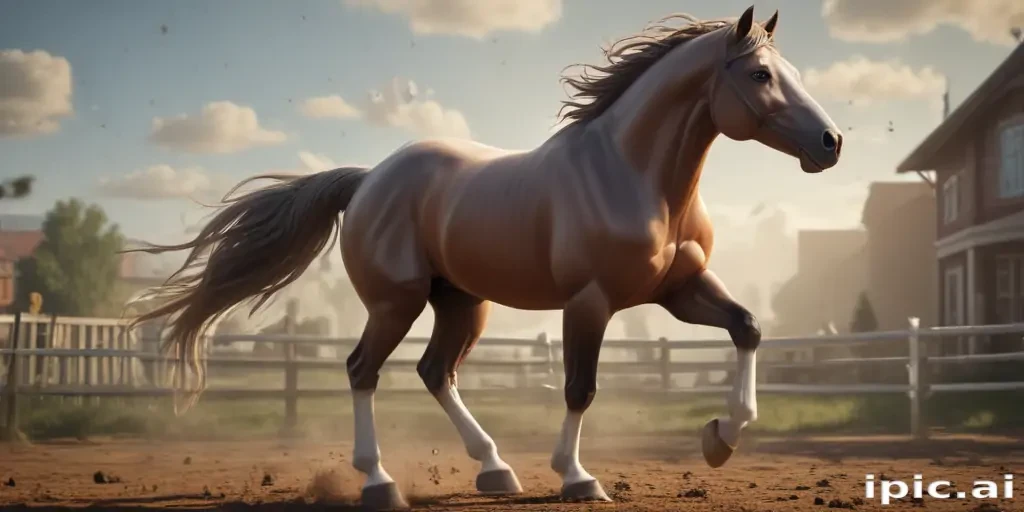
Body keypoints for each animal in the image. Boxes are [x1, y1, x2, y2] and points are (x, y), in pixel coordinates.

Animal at [128, 6, 842, 510]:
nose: (831, 142)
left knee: (434, 371)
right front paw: (577, 477)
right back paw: (379, 482)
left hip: (462, 304)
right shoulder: (591, 302)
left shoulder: (680, 290)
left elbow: (748, 327)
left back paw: (495, 469)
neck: (633, 174)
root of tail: (367, 180)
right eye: (760, 75)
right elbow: (580, 387)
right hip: (396, 302)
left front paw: (720, 437)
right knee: (363, 370)